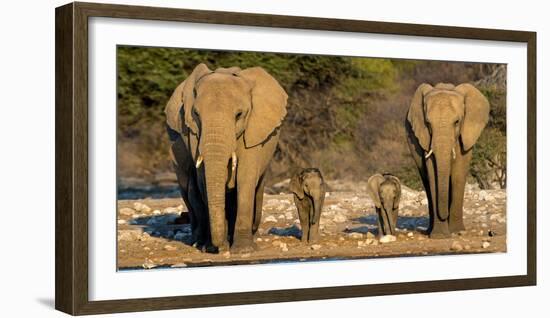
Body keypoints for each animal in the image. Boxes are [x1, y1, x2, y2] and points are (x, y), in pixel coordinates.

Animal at [164, 64, 292, 253]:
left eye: (239, 115)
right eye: (196, 114)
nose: (219, 246)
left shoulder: (253, 131)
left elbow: (246, 178)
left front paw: (243, 250)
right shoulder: (193, 134)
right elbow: (204, 181)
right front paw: (213, 248)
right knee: (188, 189)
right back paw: (198, 241)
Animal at [406, 83, 492, 237]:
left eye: (457, 122)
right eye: (428, 123)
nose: (444, 215)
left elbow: (458, 173)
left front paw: (457, 231)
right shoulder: (426, 138)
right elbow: (433, 173)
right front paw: (439, 236)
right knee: (426, 182)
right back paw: (429, 231)